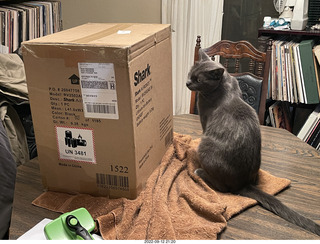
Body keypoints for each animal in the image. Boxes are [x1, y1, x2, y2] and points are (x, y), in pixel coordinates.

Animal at [186, 49, 318, 236]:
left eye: (198, 80)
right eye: (190, 74)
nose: (187, 82)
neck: (225, 86)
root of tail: (243, 183)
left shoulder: (204, 121)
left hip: (205, 146)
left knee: (223, 188)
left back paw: (200, 172)